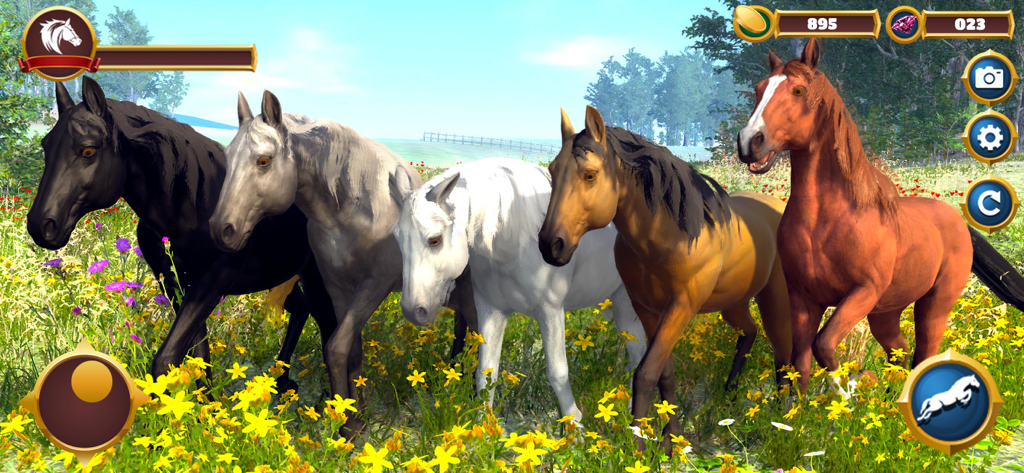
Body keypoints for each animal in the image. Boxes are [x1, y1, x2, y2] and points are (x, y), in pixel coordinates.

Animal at [25, 77, 340, 393]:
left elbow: (168, 357)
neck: (191, 205)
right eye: (46, 146)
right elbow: (198, 354)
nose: (41, 226)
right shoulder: (175, 282)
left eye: (88, 150)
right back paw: (281, 381)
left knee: (327, 324)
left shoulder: (213, 281)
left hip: (314, 276)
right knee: (301, 310)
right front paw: (205, 402)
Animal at [207, 90, 478, 440]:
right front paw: (354, 414)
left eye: (263, 161)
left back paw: (461, 383)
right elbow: (351, 349)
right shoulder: (338, 287)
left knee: (468, 324)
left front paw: (349, 425)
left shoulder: (374, 284)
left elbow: (336, 347)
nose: (221, 229)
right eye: (228, 159)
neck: (350, 209)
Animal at [389, 158, 648, 423]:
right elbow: (486, 372)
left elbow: (557, 372)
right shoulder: (491, 311)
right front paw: (484, 429)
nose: (413, 311)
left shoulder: (550, 311)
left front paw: (574, 427)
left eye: (435, 240)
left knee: (638, 350)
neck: (512, 238)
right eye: (396, 238)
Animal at [538, 106, 793, 452]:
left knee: (783, 351)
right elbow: (664, 372)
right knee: (749, 333)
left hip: (774, 298)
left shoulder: (681, 307)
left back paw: (783, 418)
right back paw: (728, 397)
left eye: (589, 174)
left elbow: (646, 372)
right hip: (734, 302)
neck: (667, 237)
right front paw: (671, 439)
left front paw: (638, 446)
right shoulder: (647, 309)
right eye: (553, 171)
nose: (550, 245)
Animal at [735, 37, 1024, 393]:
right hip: (885, 312)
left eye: (799, 90)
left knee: (923, 353)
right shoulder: (804, 299)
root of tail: (959, 223)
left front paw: (854, 384)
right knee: (898, 351)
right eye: (758, 89)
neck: (825, 222)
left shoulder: (863, 291)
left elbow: (824, 344)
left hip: (932, 305)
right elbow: (801, 365)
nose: (749, 143)